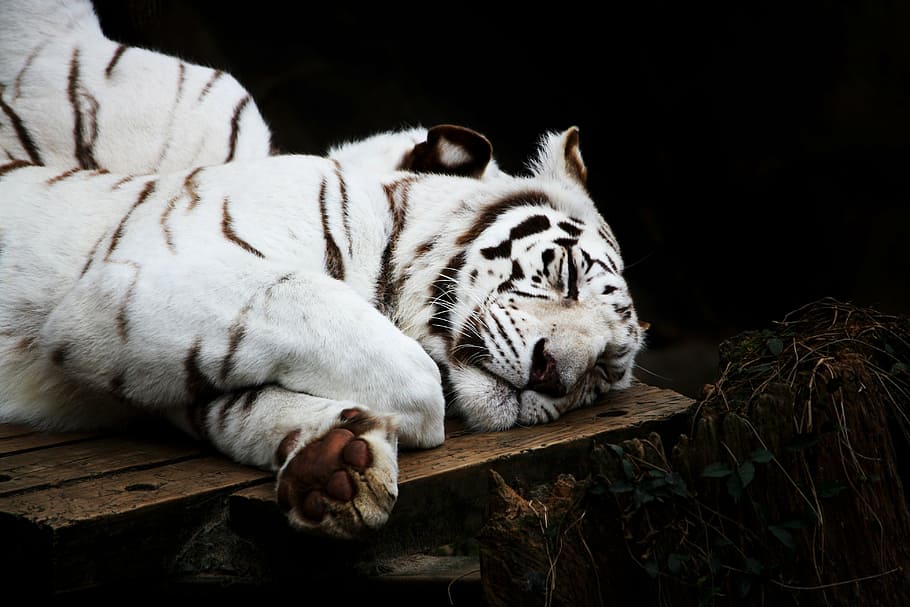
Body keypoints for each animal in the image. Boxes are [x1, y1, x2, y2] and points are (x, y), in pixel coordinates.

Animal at [0, 0, 647, 540]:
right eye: (566, 276)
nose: (552, 374)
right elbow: (415, 380)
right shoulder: (138, 281)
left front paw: (331, 462)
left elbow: (221, 399)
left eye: (604, 368)